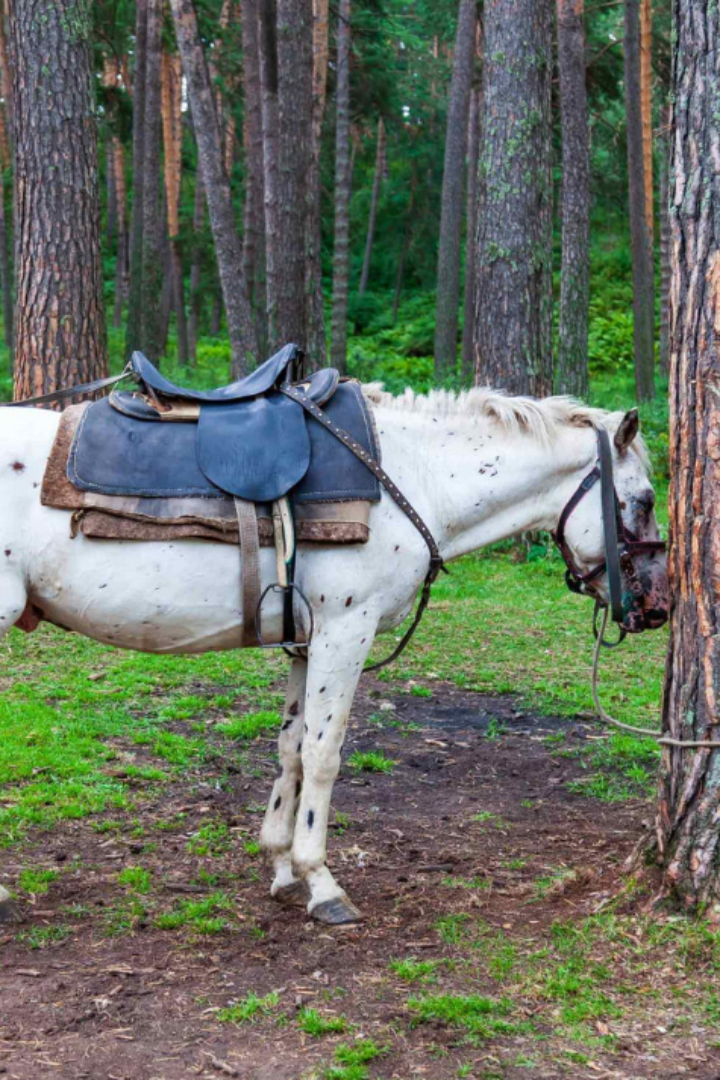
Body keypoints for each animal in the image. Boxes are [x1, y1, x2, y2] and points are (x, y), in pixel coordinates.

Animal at [0, 384, 669, 924]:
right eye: (643, 500)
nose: (657, 606)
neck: (414, 476)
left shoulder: (307, 640)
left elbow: (290, 749)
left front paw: (281, 867)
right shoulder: (346, 631)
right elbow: (324, 756)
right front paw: (321, 883)